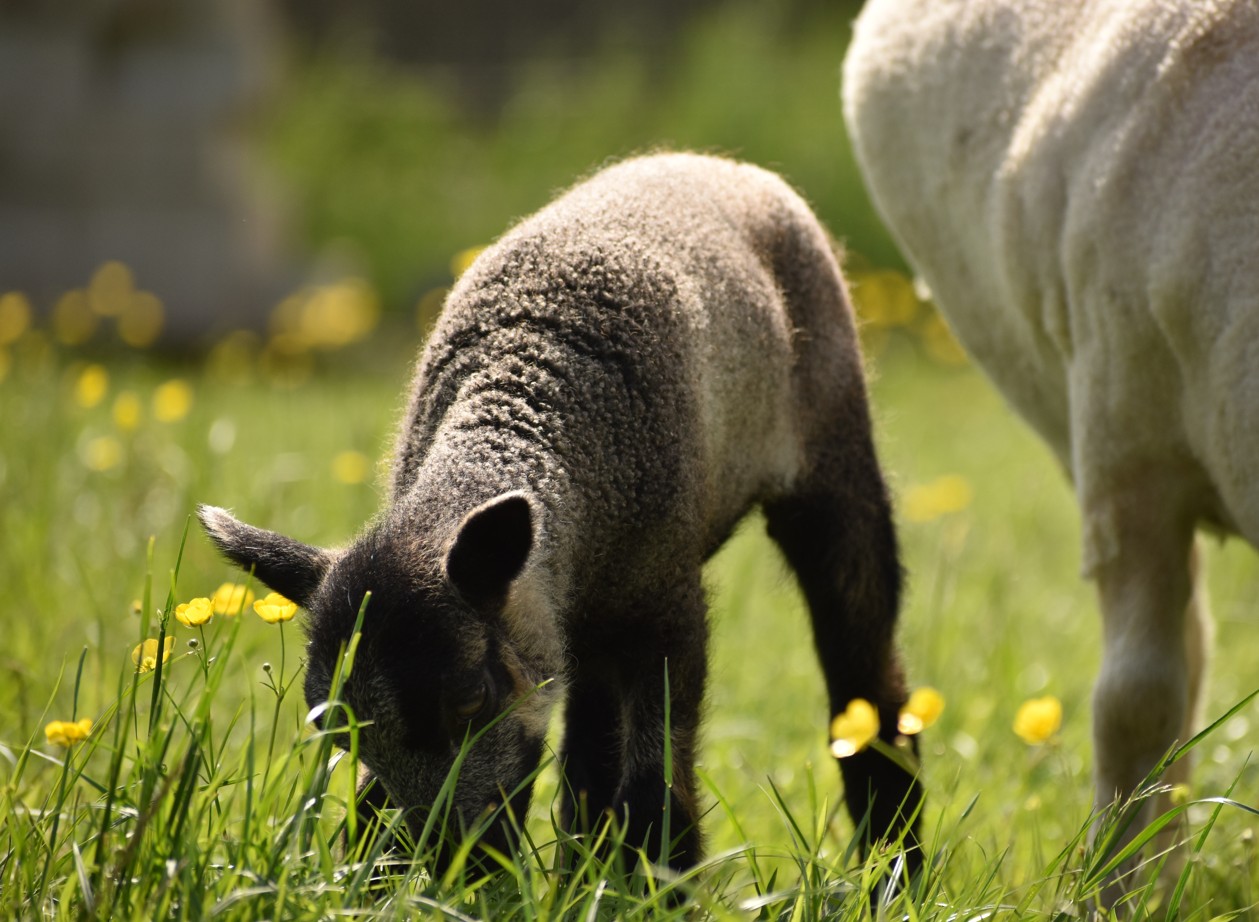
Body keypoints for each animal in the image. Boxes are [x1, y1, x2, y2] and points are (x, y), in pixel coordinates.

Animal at [199, 152, 922, 873]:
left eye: (472, 699)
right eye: (336, 732)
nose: (454, 863)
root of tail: (716, 161)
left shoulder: (666, 607)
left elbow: (655, 781)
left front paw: (657, 877)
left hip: (832, 460)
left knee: (862, 672)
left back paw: (894, 854)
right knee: (590, 742)